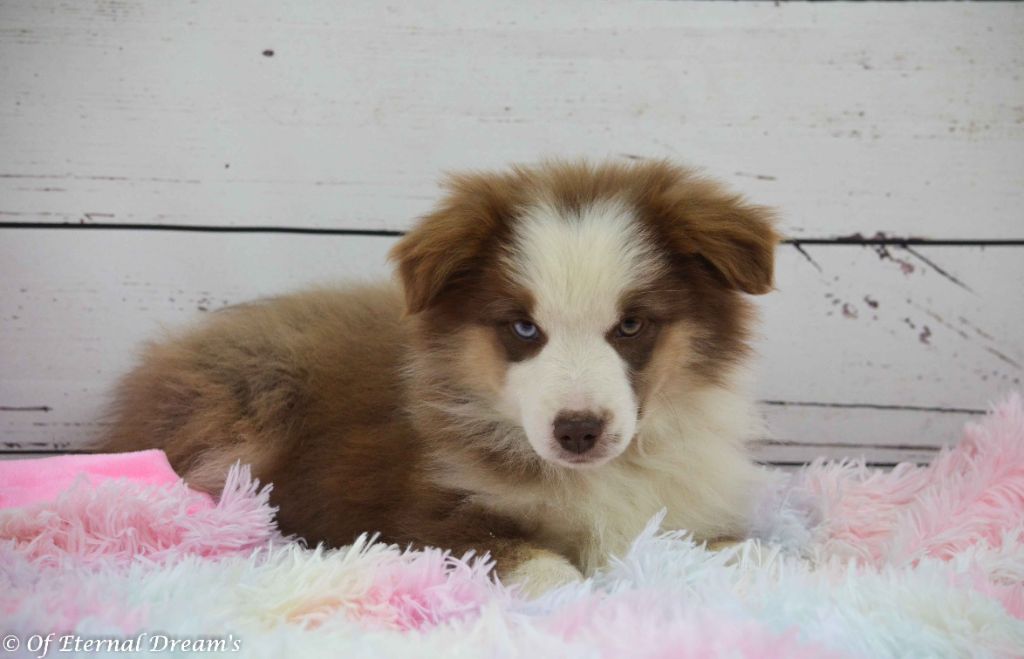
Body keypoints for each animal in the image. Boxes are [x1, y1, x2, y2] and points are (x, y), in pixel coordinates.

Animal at [99, 160, 780, 594]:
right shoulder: (423, 519)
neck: (601, 475)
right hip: (248, 401)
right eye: (523, 328)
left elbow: (749, 550)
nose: (578, 432)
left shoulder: (687, 507)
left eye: (632, 325)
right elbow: (544, 567)